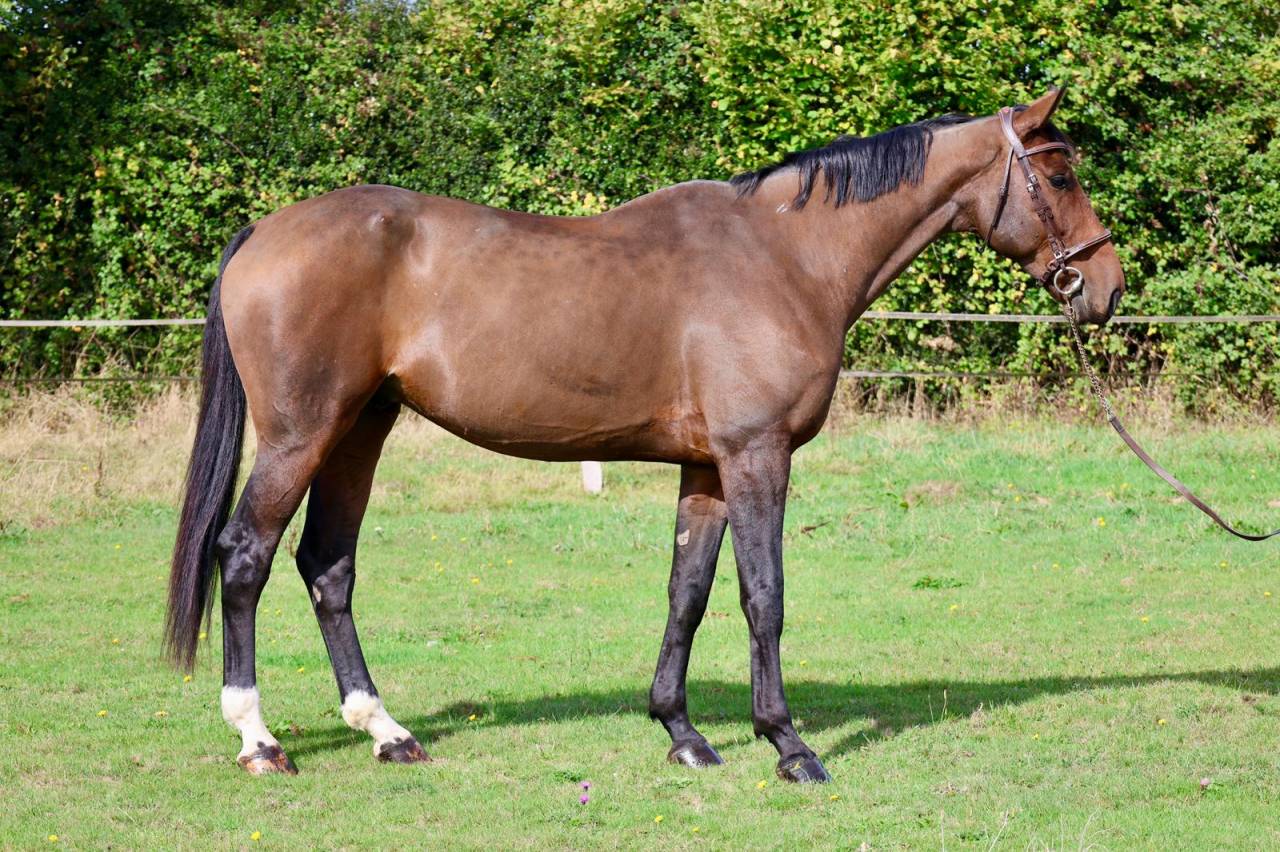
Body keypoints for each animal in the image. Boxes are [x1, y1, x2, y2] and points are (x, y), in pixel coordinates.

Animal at [166, 87, 1123, 782]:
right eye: (1060, 178)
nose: (1106, 288)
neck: (786, 257)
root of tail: (263, 233)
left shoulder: (705, 467)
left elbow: (686, 594)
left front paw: (683, 734)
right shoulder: (755, 456)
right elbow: (763, 596)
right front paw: (789, 746)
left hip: (361, 429)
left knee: (327, 566)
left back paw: (386, 731)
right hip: (301, 435)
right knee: (244, 555)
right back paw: (259, 740)